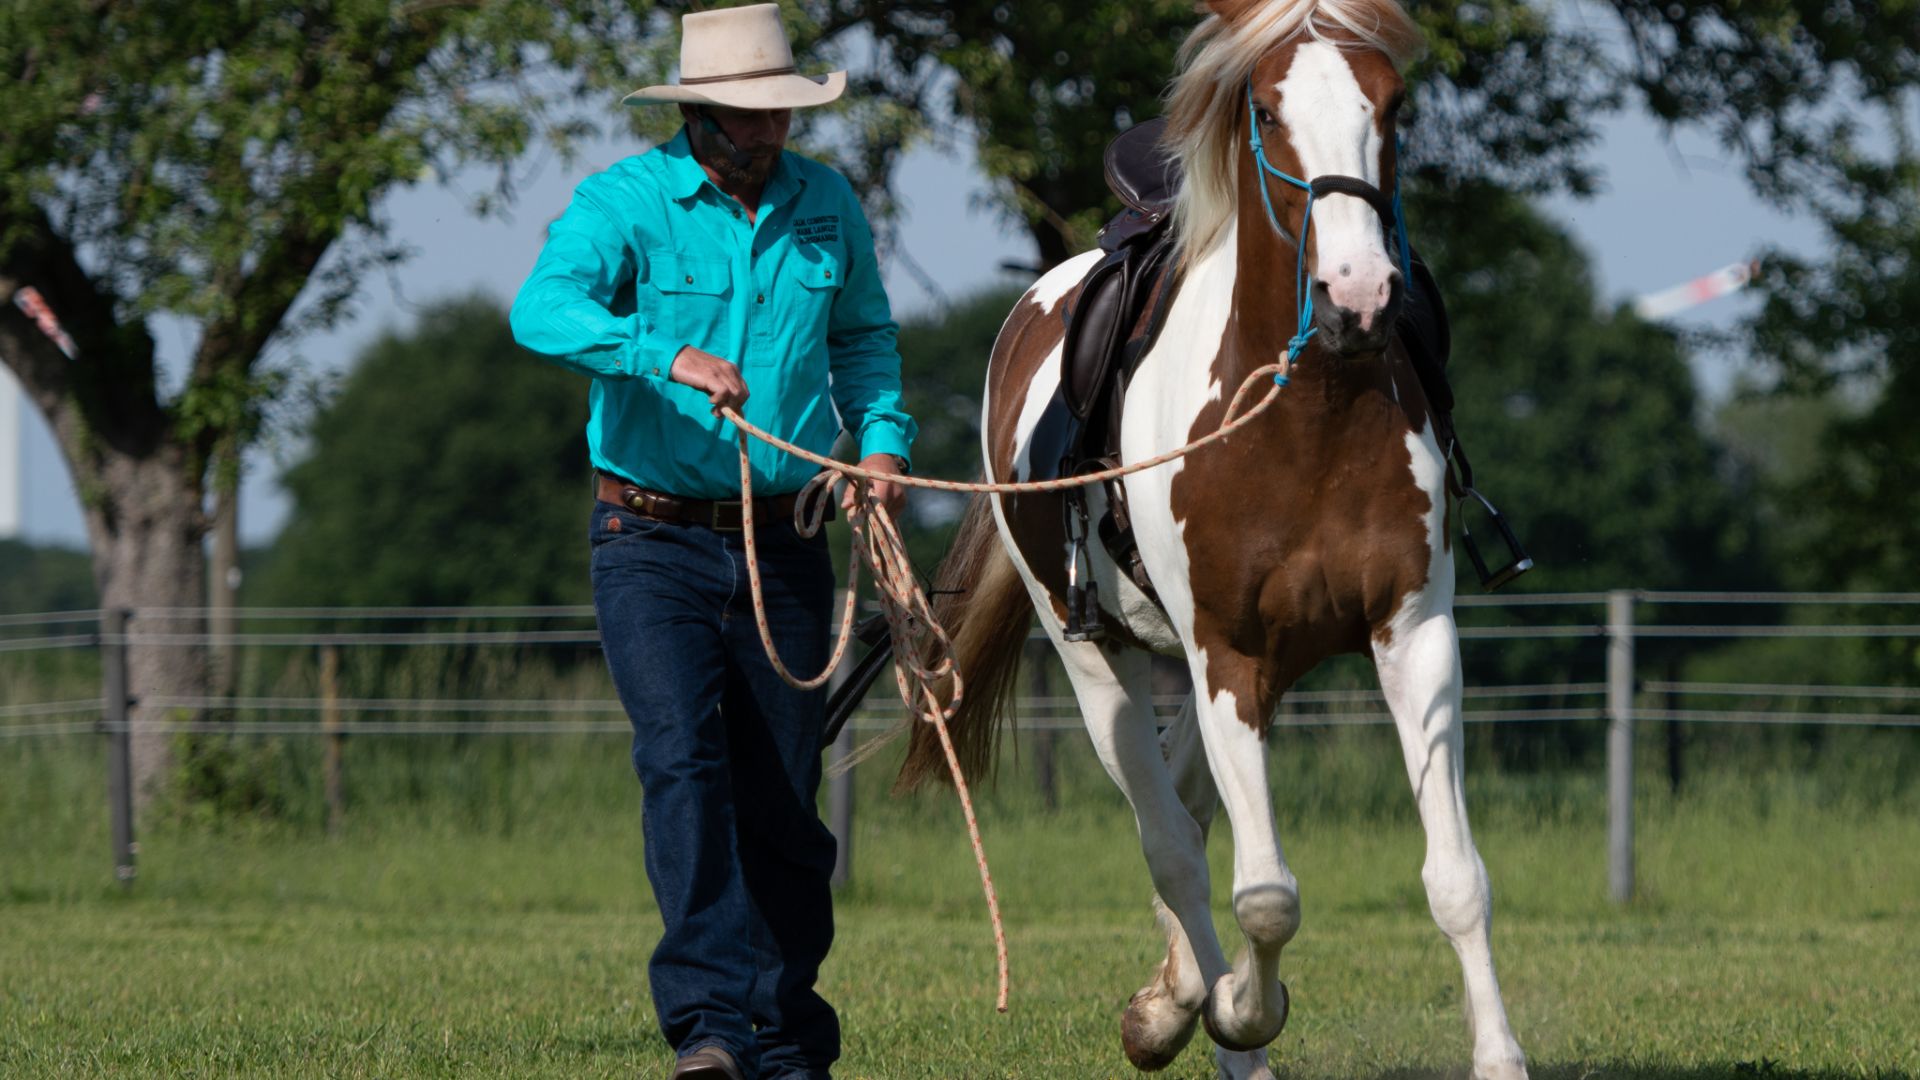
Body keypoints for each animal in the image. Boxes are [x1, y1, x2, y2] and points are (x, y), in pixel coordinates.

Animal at [894, 2, 1528, 1076]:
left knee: (1185, 802)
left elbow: (1457, 877)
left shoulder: (1411, 635)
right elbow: (1263, 894)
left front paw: (1500, 1056)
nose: (1359, 296)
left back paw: (1174, 998)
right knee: (1174, 841)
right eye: (1267, 112)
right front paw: (1239, 1013)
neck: (1307, 412)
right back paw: (1206, 1024)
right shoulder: (1225, 653)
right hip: (1098, 657)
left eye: (1394, 104)